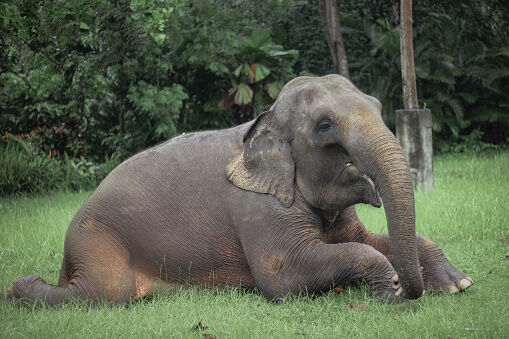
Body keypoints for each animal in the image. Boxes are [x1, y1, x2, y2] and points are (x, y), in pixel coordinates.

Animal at [3, 74, 472, 306]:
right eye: (325, 127)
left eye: (376, 106)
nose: (407, 289)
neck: (262, 121)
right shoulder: (256, 208)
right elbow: (282, 275)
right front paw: (389, 287)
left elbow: (367, 239)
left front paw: (457, 284)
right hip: (97, 239)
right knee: (104, 292)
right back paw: (19, 288)